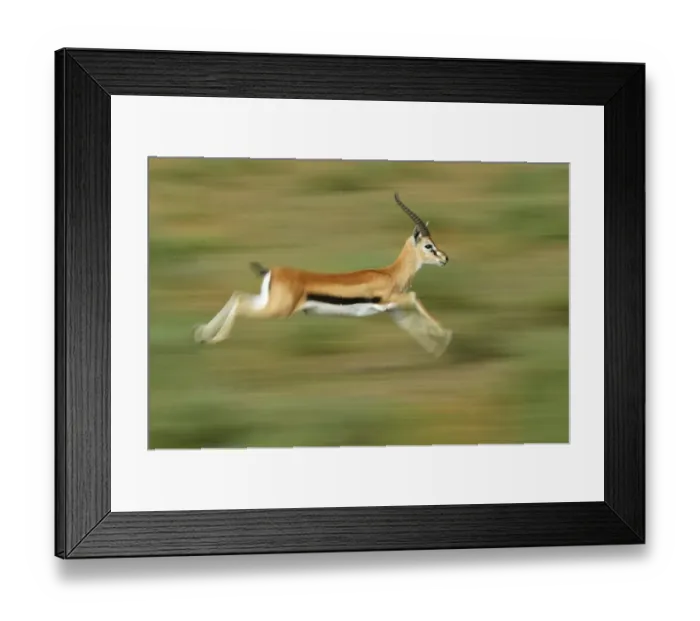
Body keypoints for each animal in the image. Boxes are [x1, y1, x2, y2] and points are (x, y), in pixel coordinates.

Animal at [193, 193, 453, 357]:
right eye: (429, 245)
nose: (445, 259)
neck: (390, 273)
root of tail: (272, 270)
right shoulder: (393, 300)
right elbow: (416, 298)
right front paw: (446, 335)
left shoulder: (393, 310)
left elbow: (411, 325)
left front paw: (436, 349)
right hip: (277, 310)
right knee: (240, 304)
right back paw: (215, 339)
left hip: (267, 302)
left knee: (238, 295)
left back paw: (202, 335)